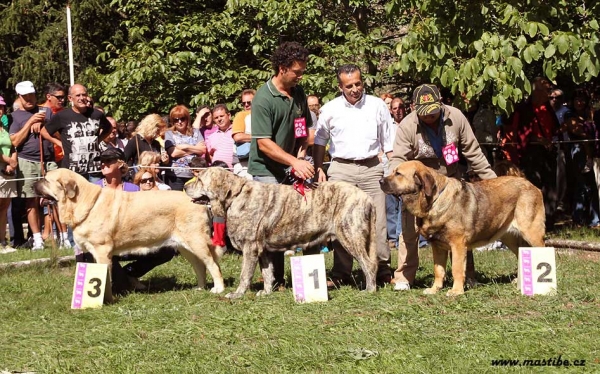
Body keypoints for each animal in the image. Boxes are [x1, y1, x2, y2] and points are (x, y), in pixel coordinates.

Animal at [33, 169, 225, 304]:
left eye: (46, 179)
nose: (34, 182)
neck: (83, 201)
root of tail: (201, 203)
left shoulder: (102, 251)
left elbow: (105, 278)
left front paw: (106, 300)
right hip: (185, 247)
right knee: (200, 266)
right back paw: (200, 287)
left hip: (197, 242)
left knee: (213, 265)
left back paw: (219, 289)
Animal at [185, 168, 378, 300]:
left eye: (200, 179)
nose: (185, 186)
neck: (235, 197)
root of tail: (367, 198)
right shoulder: (262, 250)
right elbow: (267, 272)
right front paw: (266, 292)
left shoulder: (249, 247)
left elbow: (245, 274)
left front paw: (238, 294)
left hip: (350, 235)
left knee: (368, 264)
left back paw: (369, 289)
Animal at [382, 160, 548, 296]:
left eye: (398, 174)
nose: (380, 180)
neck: (434, 201)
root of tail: (530, 184)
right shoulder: (437, 246)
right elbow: (438, 270)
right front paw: (435, 289)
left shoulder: (458, 245)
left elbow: (456, 268)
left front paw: (456, 291)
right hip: (510, 237)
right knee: (521, 253)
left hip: (532, 233)